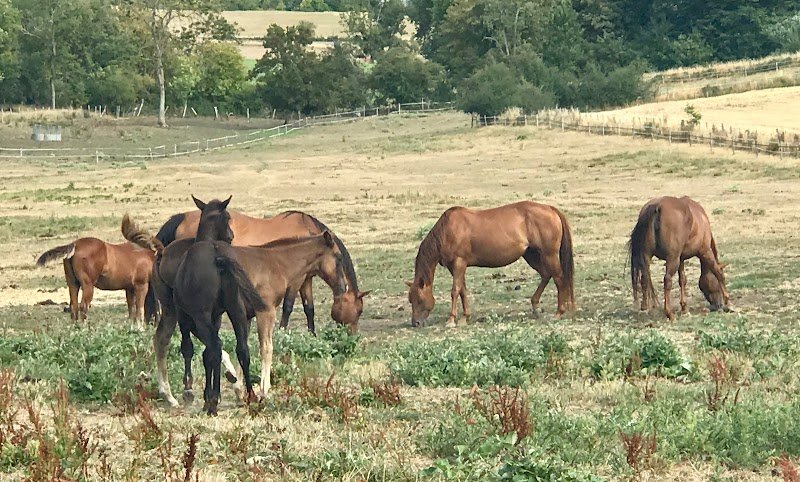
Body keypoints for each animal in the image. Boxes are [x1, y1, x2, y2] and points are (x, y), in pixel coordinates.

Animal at [155, 209, 368, 334]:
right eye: (359, 311)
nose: (353, 335)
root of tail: (181, 218)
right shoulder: (295, 280)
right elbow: (288, 306)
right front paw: (282, 332)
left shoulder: (306, 279)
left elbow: (309, 308)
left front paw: (312, 334)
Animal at [406, 201, 575, 327]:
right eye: (410, 300)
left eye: (419, 299)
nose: (416, 323)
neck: (448, 230)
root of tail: (551, 209)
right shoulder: (455, 267)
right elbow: (463, 290)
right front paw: (465, 317)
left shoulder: (459, 263)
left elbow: (455, 290)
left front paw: (451, 320)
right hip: (531, 255)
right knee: (546, 275)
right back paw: (536, 306)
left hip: (548, 255)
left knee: (558, 278)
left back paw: (559, 312)